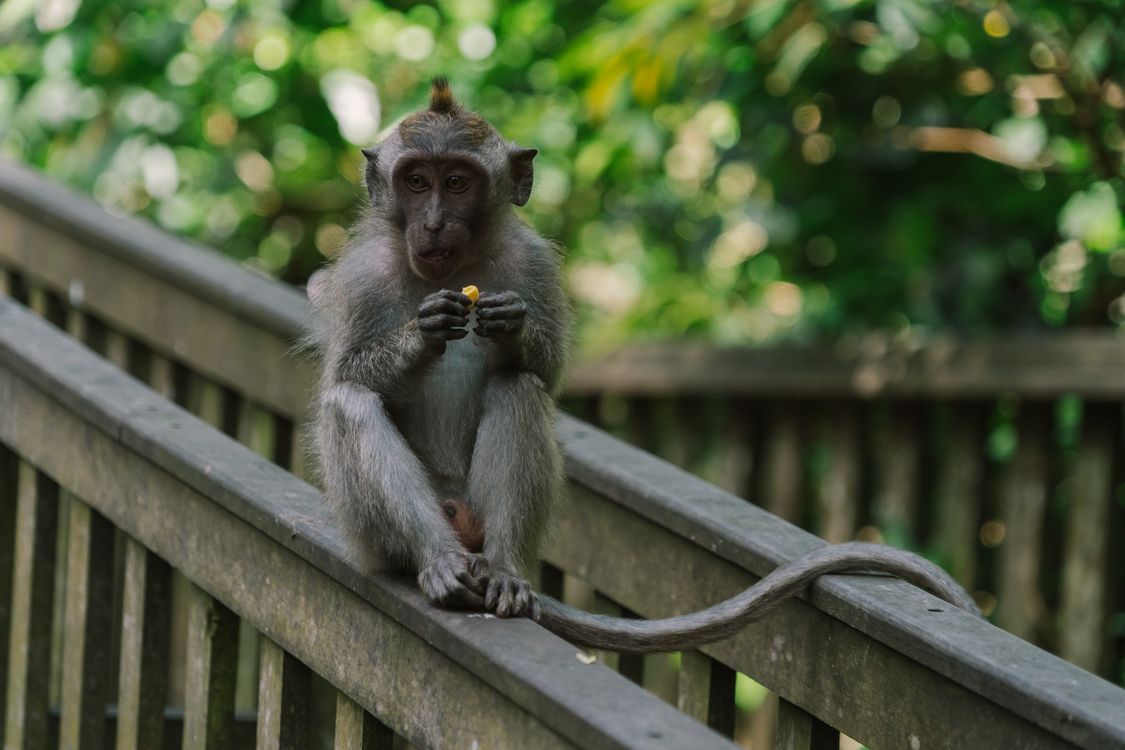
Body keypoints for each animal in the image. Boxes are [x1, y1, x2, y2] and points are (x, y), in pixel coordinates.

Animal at [310, 78, 981, 653]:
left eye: (456, 182)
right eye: (415, 181)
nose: (432, 222)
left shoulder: (532, 263)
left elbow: (544, 373)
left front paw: (513, 329)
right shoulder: (362, 275)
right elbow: (347, 378)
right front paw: (423, 333)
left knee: (518, 389)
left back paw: (502, 572)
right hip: (371, 534)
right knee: (350, 408)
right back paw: (439, 561)